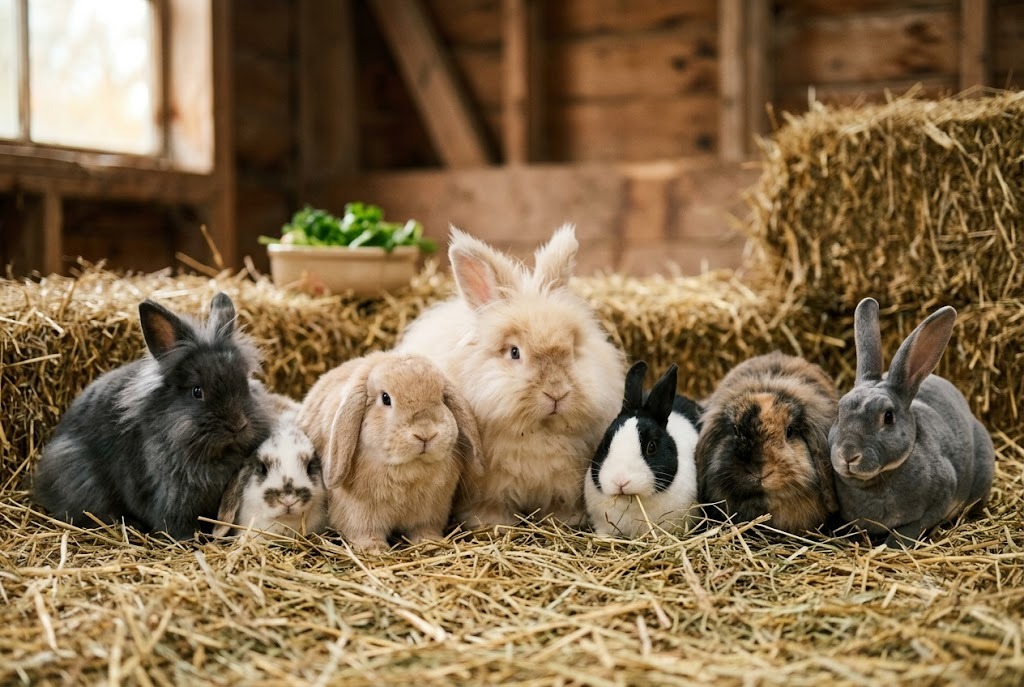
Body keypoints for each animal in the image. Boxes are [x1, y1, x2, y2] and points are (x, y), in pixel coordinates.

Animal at [297, 351, 483, 553]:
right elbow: (364, 531)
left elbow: (424, 530)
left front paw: (431, 543)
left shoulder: (430, 512)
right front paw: (375, 549)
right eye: (386, 398)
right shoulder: (358, 512)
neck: (408, 469)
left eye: (442, 398)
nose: (425, 434)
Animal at [396, 225, 626, 529]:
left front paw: (565, 520)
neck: (535, 431)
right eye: (514, 352)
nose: (557, 392)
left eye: (573, 349)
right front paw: (491, 523)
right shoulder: (488, 487)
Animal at [829, 298, 995, 547]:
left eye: (888, 416)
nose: (848, 454)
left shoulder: (940, 500)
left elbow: (910, 529)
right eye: (839, 411)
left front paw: (890, 545)